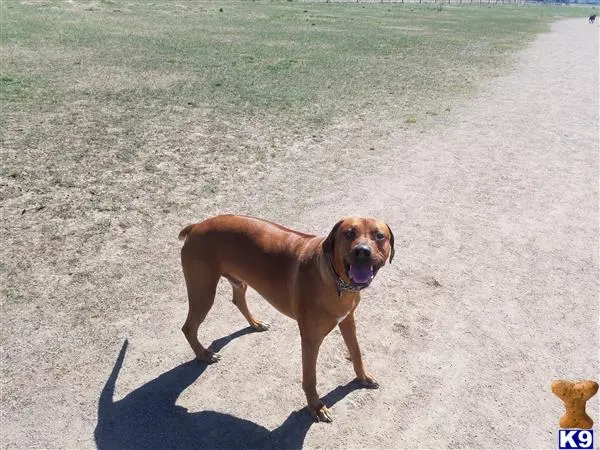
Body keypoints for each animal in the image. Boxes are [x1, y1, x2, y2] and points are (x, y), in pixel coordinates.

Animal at [178, 214, 394, 422]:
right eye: (349, 233)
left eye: (379, 236)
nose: (363, 251)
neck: (338, 281)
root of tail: (196, 226)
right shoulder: (310, 340)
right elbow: (310, 378)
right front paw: (316, 406)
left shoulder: (348, 320)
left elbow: (356, 351)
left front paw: (363, 376)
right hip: (203, 292)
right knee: (188, 327)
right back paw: (204, 354)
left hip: (236, 280)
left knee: (238, 299)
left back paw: (255, 323)